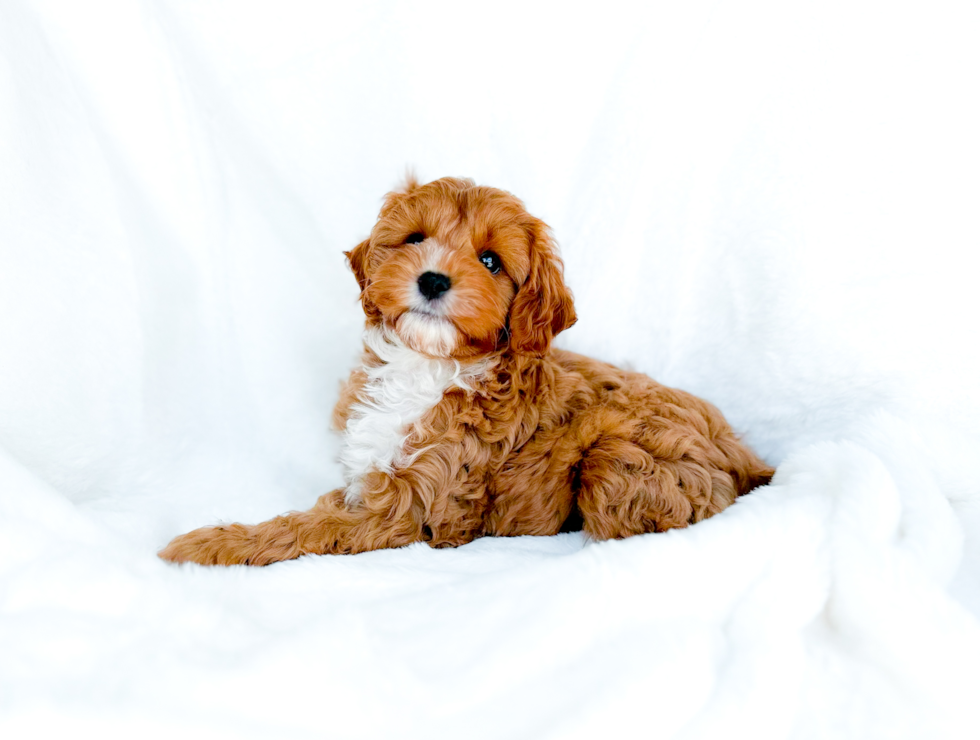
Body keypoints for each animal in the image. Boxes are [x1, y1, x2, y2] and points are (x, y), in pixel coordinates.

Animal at [161, 175, 772, 568]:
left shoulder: (409, 512)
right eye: (415, 239)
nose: (433, 279)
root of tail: (747, 455)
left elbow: (307, 528)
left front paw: (209, 545)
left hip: (613, 460)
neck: (430, 366)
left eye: (490, 261)